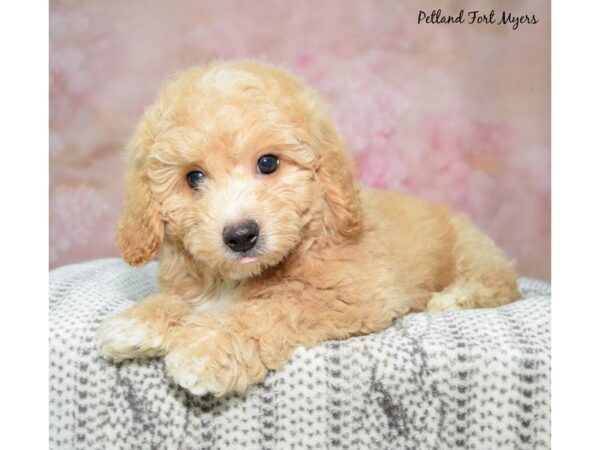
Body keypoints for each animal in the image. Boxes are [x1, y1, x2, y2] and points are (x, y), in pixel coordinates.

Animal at [95, 60, 520, 398]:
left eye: (268, 163)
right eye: (193, 177)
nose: (241, 236)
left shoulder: (352, 293)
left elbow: (273, 308)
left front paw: (206, 349)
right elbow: (182, 300)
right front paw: (138, 321)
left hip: (470, 252)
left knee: (500, 285)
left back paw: (454, 298)